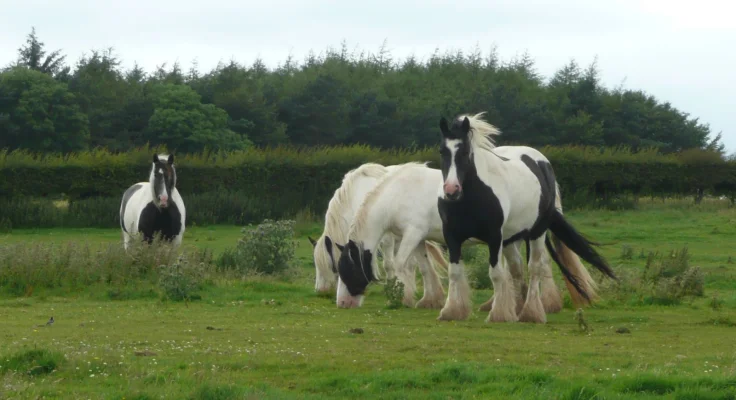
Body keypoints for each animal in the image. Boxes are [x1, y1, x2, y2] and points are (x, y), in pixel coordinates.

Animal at [307, 162, 449, 308]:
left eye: (331, 265)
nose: (321, 291)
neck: (357, 196)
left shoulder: (387, 237)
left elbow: (389, 265)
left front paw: (394, 291)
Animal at [334, 159, 586, 315]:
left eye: (347, 270)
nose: (342, 303)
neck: (397, 194)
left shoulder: (412, 233)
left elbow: (399, 264)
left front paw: (401, 297)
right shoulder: (417, 237)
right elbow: (424, 268)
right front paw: (430, 299)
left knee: (538, 264)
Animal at [436, 112, 617, 323]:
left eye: (465, 152)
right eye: (442, 151)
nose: (451, 190)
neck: (471, 197)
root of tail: (543, 164)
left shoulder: (494, 237)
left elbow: (495, 273)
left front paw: (498, 314)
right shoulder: (452, 237)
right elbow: (454, 272)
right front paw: (452, 311)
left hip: (536, 233)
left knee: (535, 267)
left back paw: (531, 312)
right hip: (510, 238)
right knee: (516, 269)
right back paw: (518, 306)